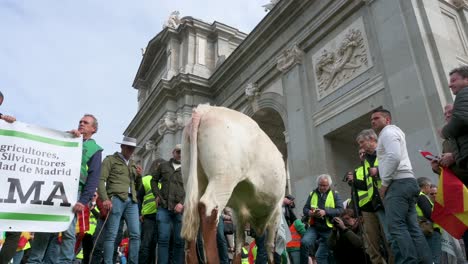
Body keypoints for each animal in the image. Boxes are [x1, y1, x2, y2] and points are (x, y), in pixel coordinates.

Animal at [181, 104, 288, 262]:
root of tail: (204, 109)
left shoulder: (238, 213)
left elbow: (239, 243)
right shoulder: (277, 209)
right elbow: (269, 245)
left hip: (192, 176)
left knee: (192, 222)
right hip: (223, 177)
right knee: (208, 209)